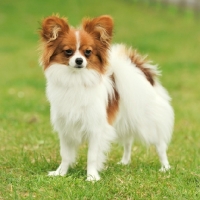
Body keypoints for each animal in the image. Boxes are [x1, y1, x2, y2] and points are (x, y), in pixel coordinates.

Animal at [38, 14, 173, 180]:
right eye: (68, 51)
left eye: (88, 52)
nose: (79, 60)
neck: (76, 79)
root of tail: (142, 73)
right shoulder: (66, 127)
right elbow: (65, 155)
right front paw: (60, 173)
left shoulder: (95, 128)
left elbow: (92, 156)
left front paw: (91, 177)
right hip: (125, 120)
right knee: (128, 141)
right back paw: (124, 162)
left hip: (147, 124)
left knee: (160, 145)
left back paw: (165, 167)